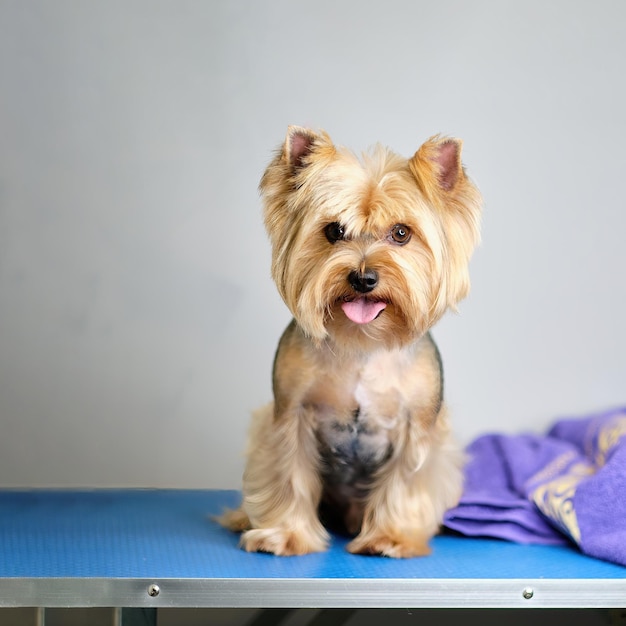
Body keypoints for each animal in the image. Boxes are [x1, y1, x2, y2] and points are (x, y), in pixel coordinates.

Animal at [217, 127, 480, 556]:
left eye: (401, 233)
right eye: (334, 231)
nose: (363, 277)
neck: (363, 342)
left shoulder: (418, 428)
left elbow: (404, 481)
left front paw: (390, 536)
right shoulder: (291, 414)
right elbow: (288, 474)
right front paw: (285, 533)